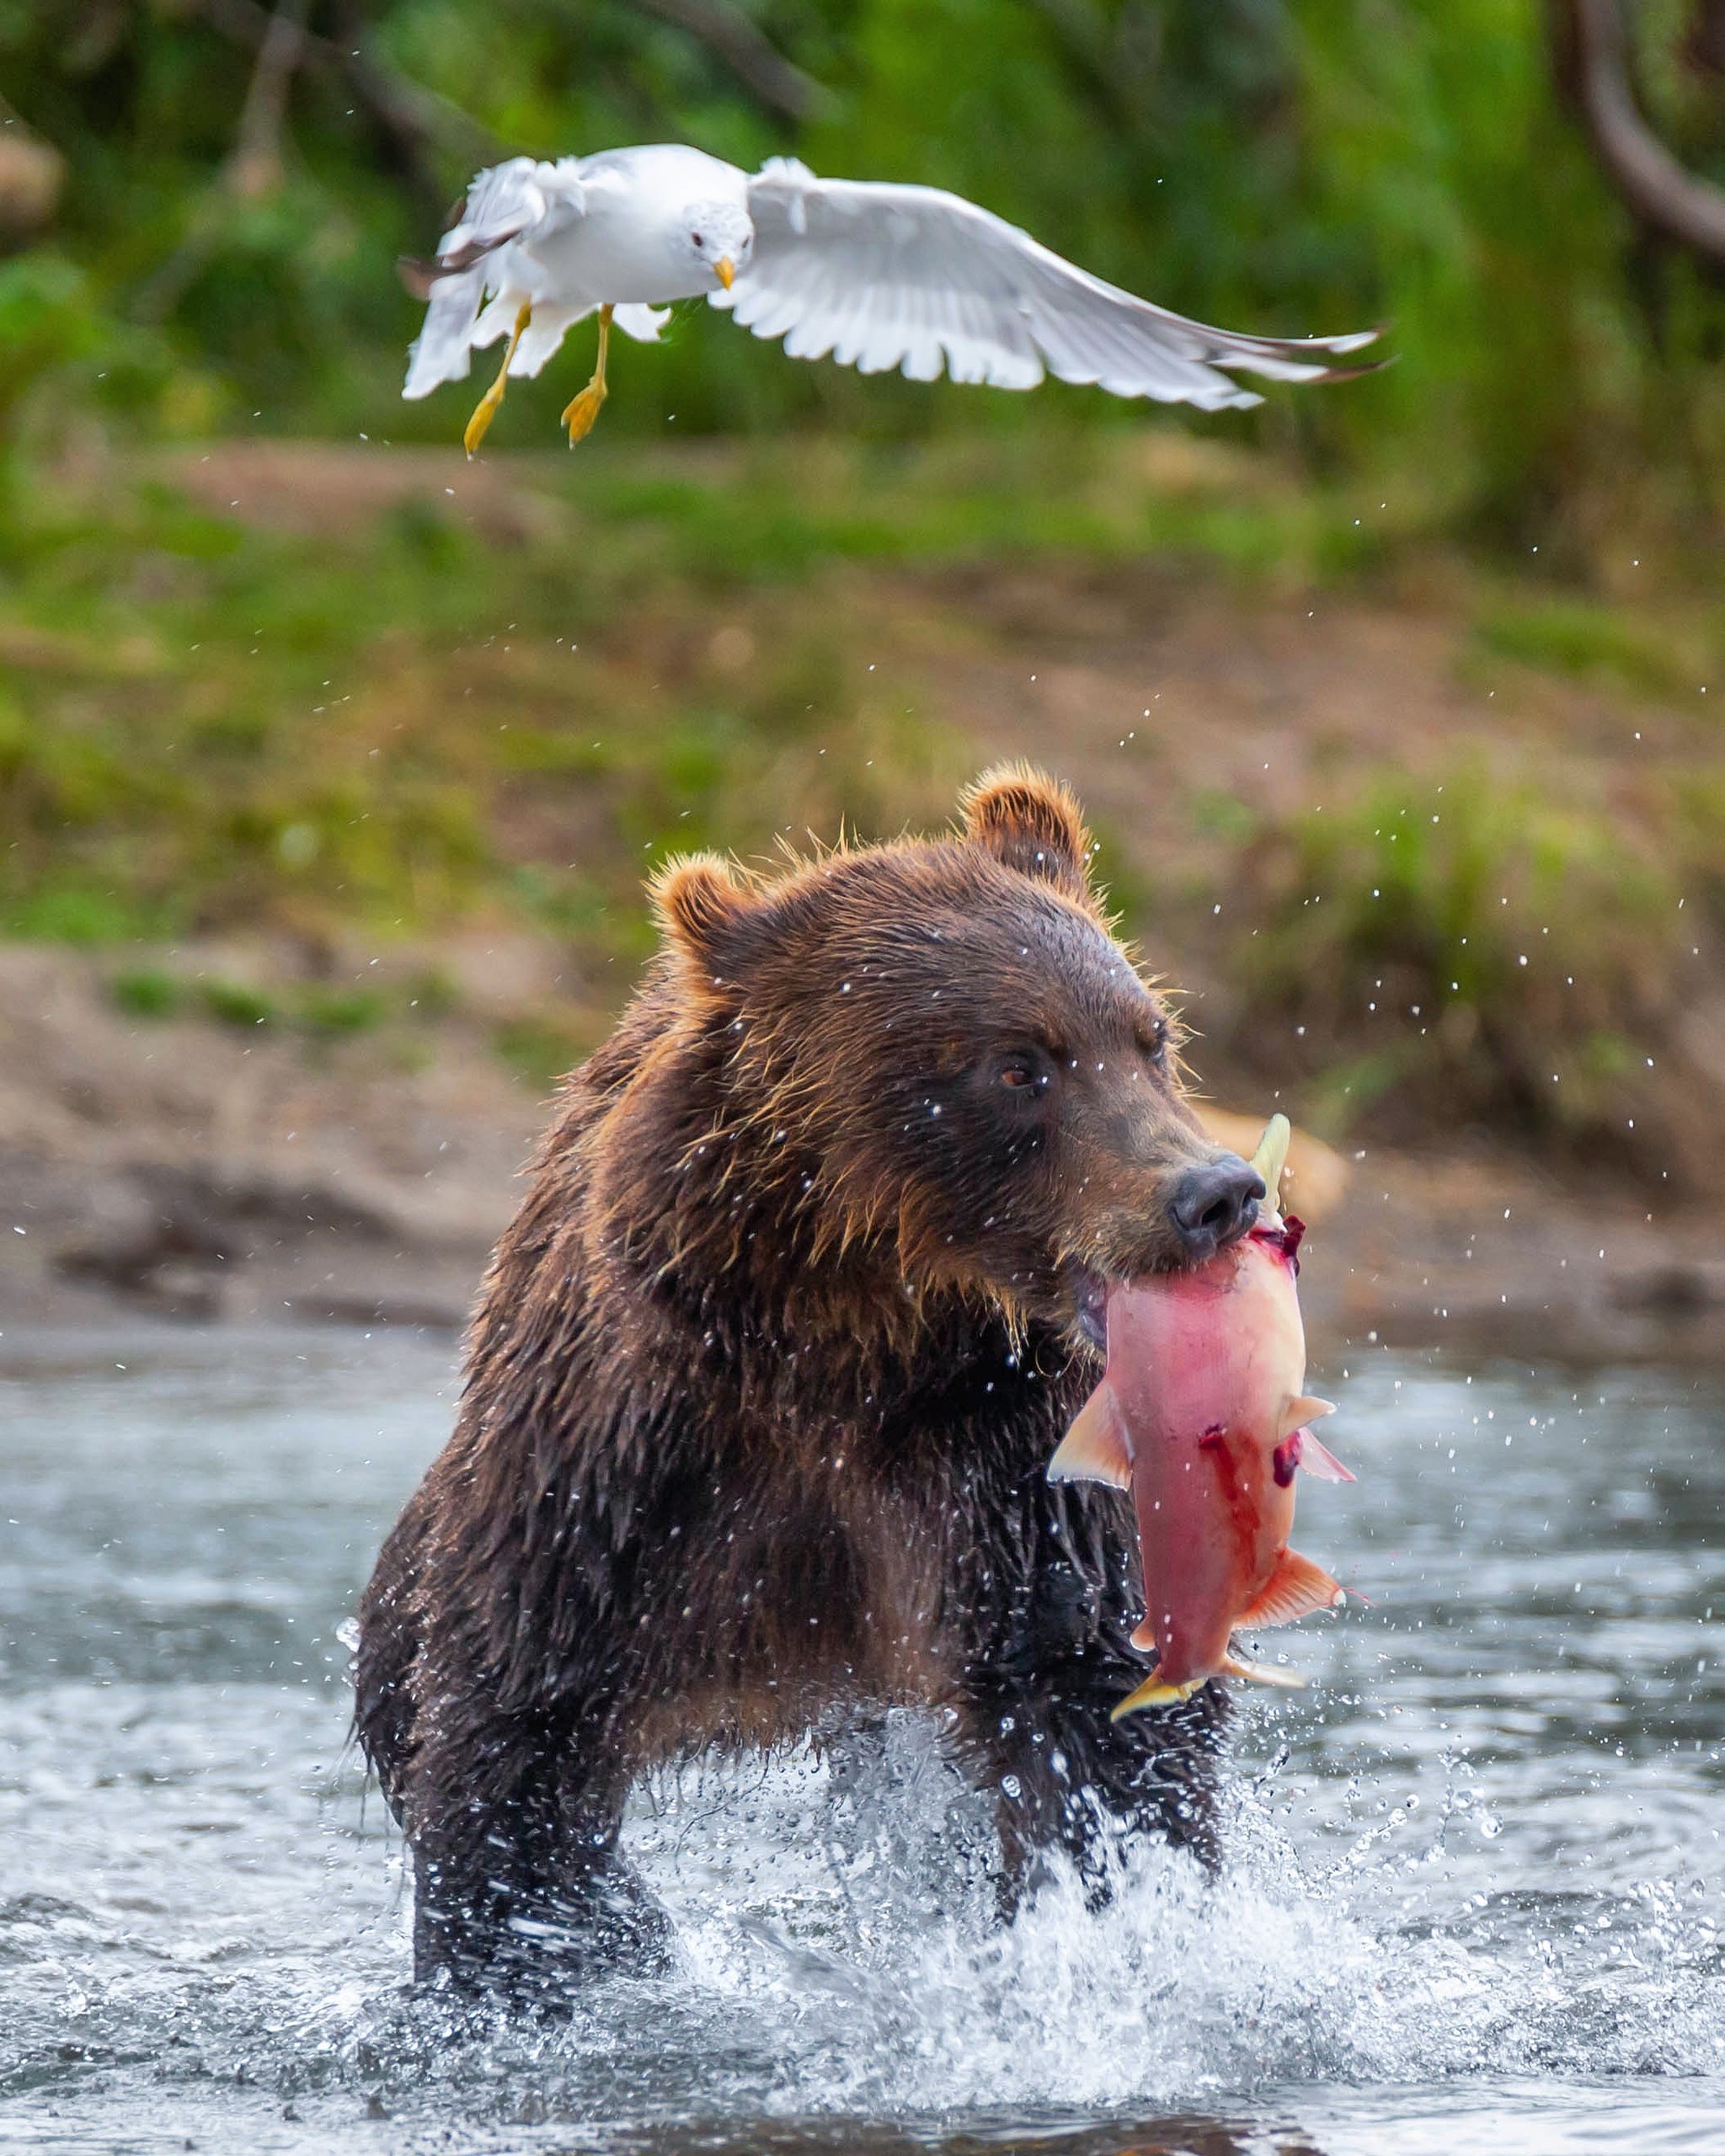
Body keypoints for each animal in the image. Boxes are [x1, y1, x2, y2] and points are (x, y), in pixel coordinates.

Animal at [353, 767, 1268, 1992]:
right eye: (1017, 1064)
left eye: (1147, 1036)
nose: (1215, 1192)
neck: (852, 1347)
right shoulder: (626, 1479)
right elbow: (512, 1728)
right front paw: (544, 1957)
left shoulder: (1012, 1470)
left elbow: (1100, 1710)